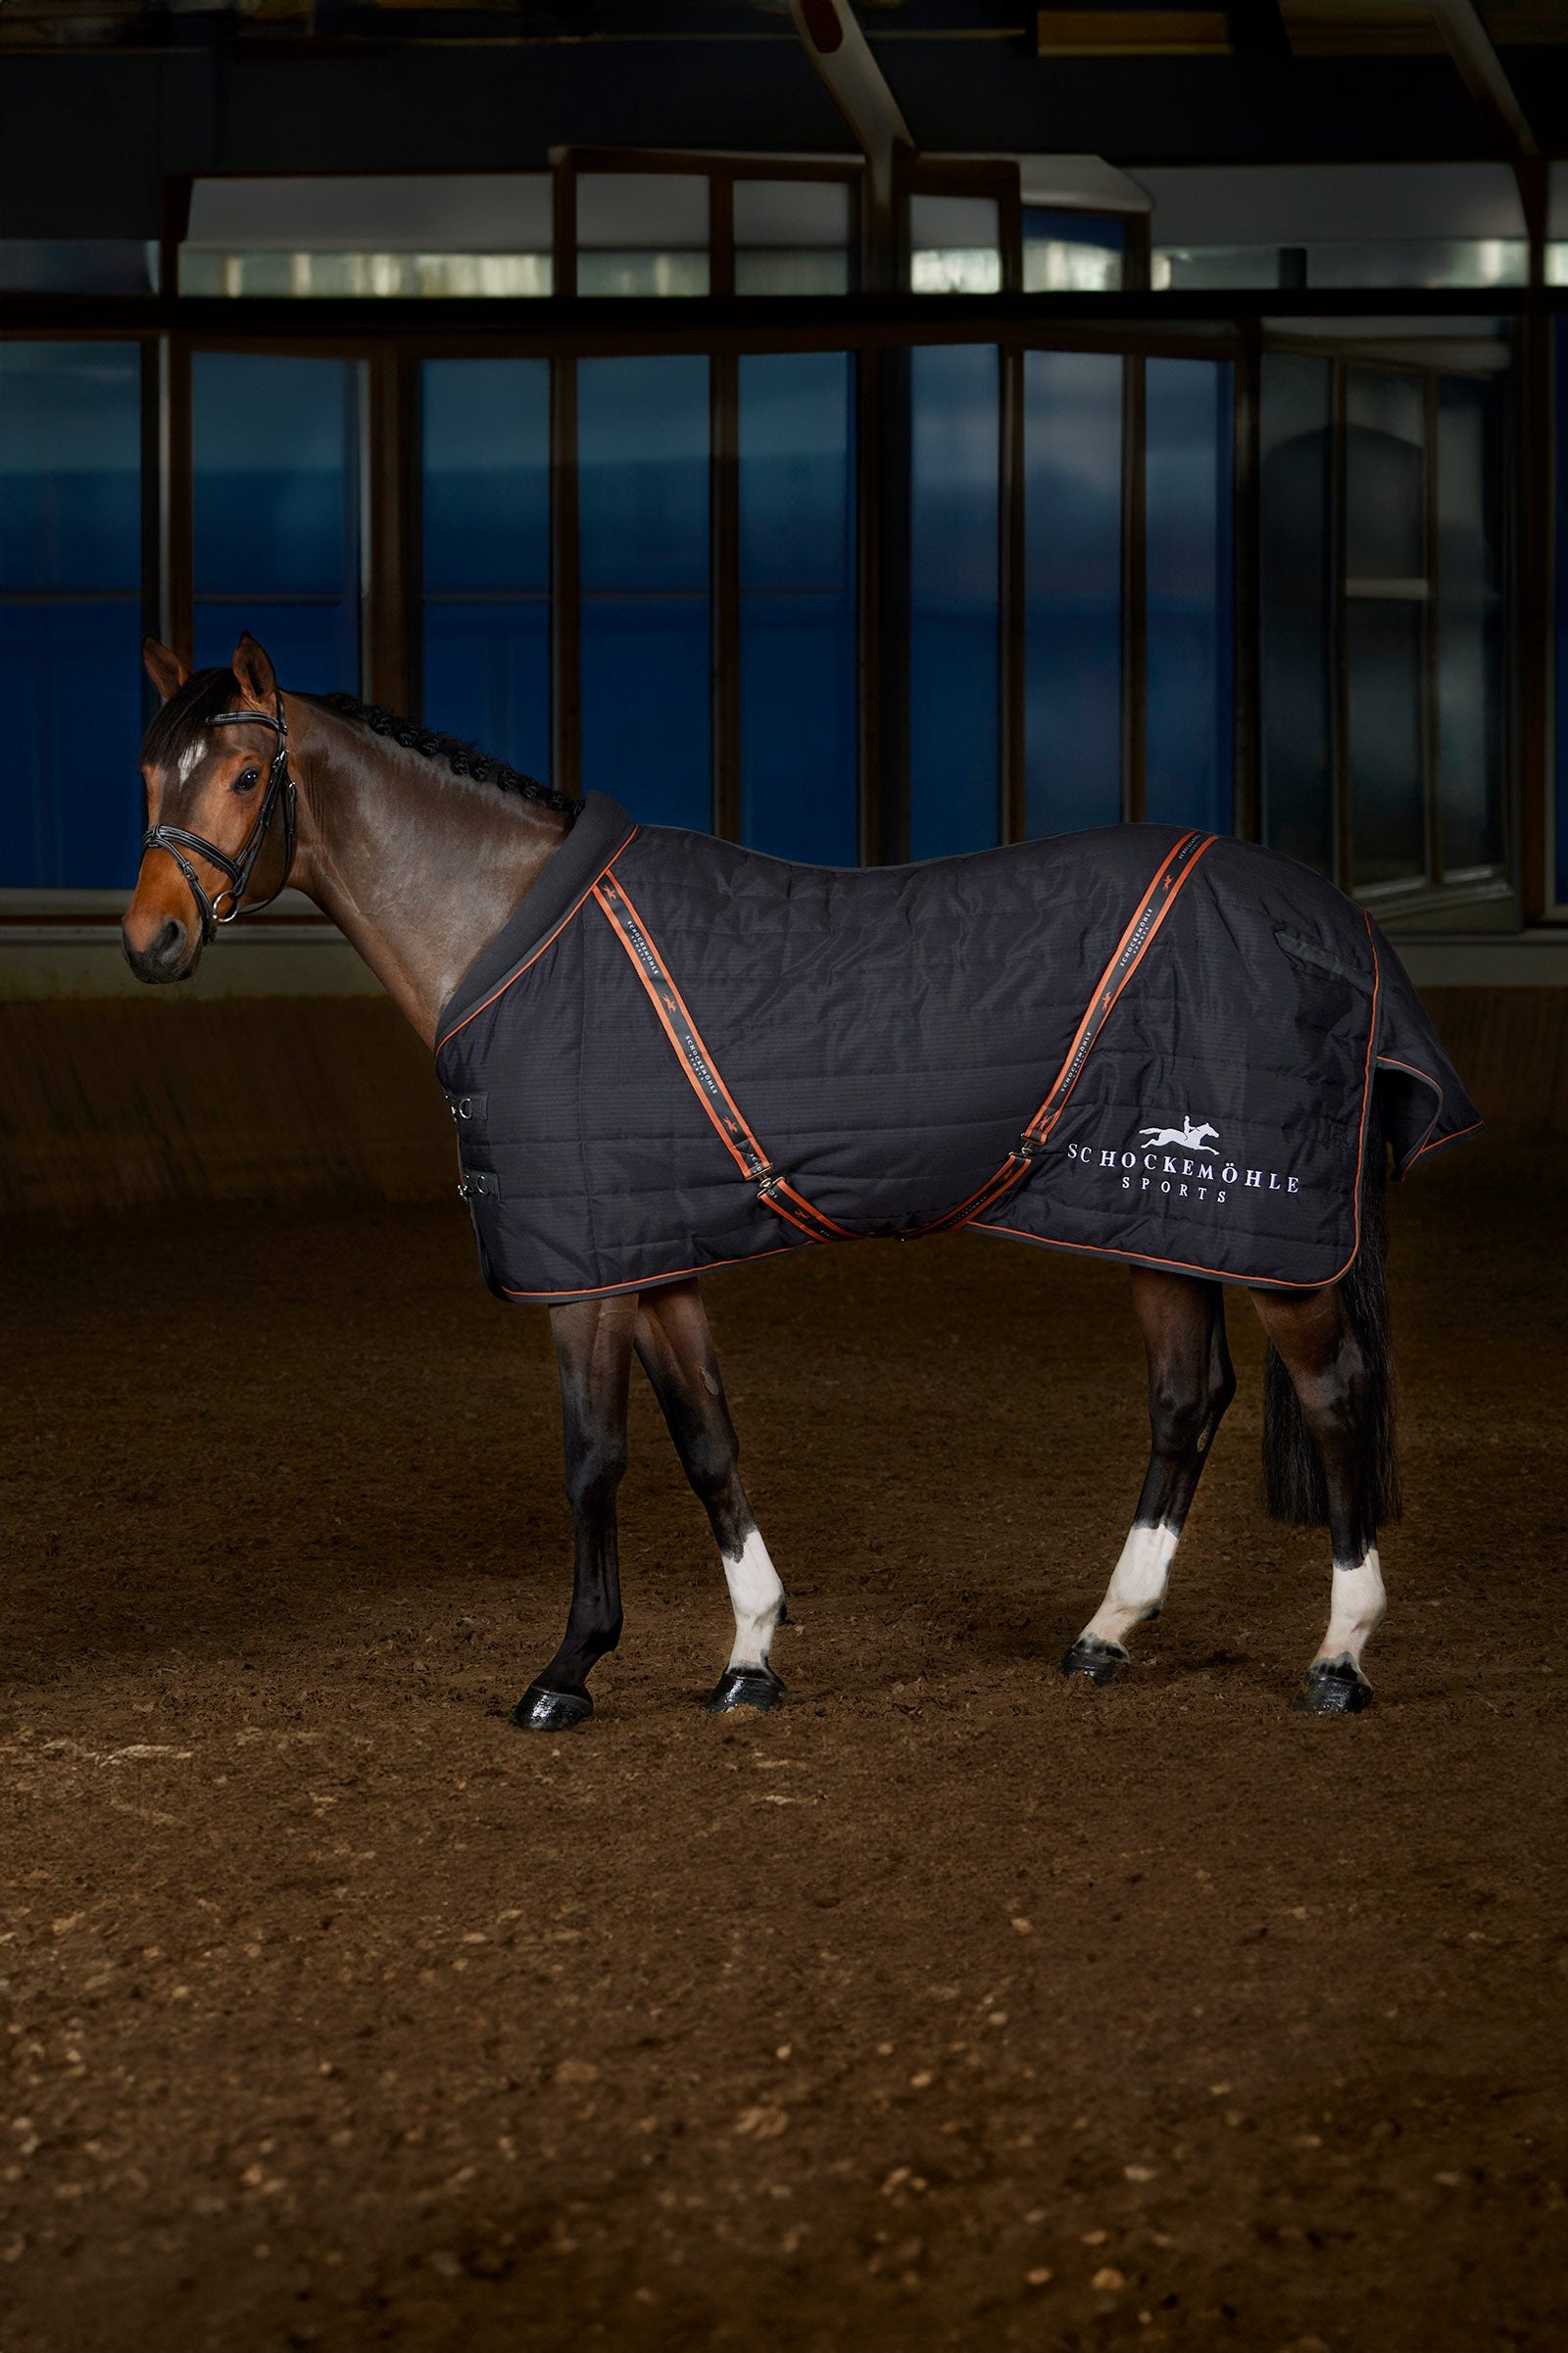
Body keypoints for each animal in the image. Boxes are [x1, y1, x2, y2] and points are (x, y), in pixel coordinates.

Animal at [123, 633, 1477, 1728]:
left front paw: (568, 1672)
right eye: (146, 776)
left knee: (1335, 1400)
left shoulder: (587, 1277)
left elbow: (592, 1457)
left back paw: (1338, 1660)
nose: (151, 942)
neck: (517, 929)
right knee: (1187, 1400)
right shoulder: (653, 1257)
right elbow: (706, 1440)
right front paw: (749, 1657)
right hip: (1155, 1220)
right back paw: (1104, 1635)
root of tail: (1337, 923)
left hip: (1277, 1239)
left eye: (242, 777)